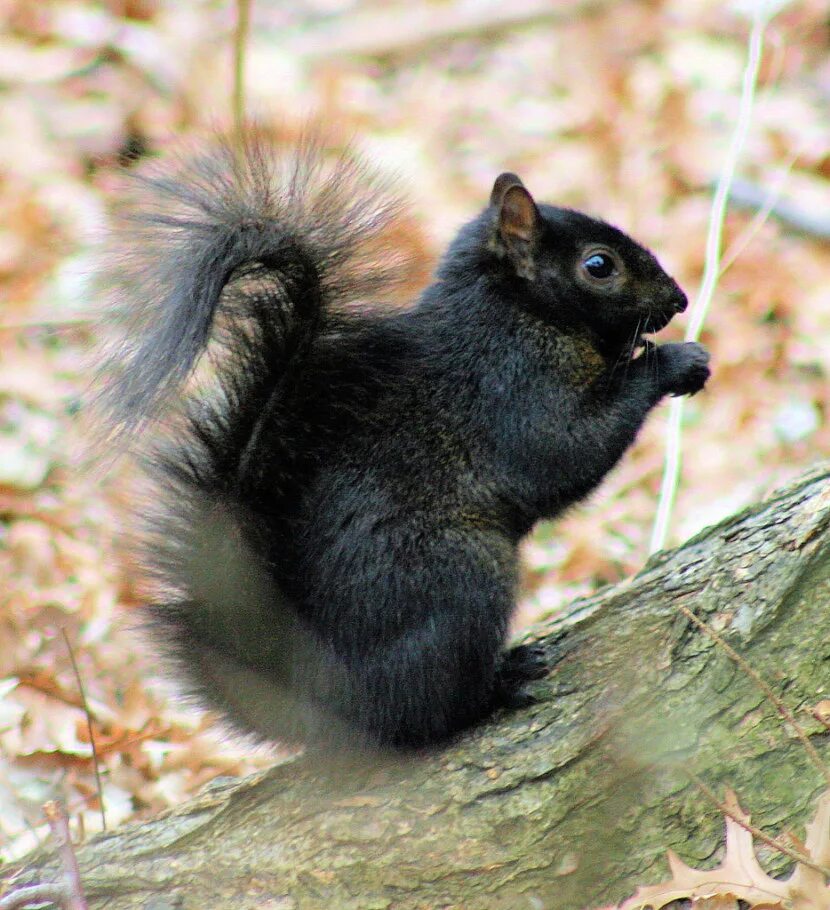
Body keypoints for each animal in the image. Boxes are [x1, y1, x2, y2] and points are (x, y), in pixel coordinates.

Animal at [96, 132, 708, 752]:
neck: (518, 311)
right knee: (420, 718)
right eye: (599, 265)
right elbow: (566, 450)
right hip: (458, 575)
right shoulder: (512, 386)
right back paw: (498, 687)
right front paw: (674, 361)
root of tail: (322, 698)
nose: (680, 299)